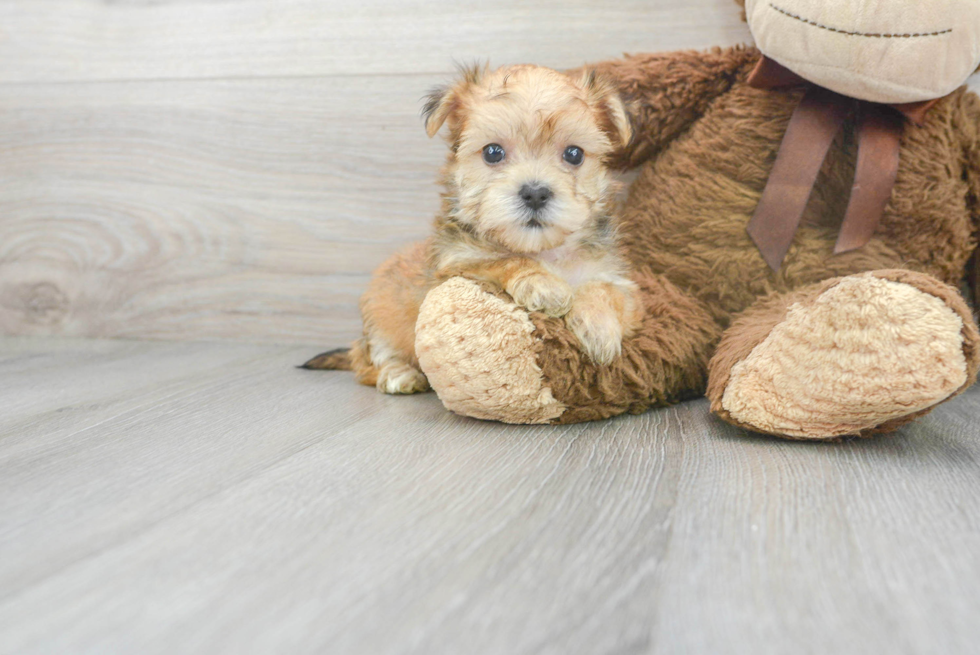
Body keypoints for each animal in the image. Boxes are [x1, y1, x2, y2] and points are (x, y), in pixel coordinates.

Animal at [306, 64, 644, 394]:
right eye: (493, 152)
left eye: (574, 154)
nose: (535, 193)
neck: (543, 250)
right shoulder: (457, 265)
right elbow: (503, 259)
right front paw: (543, 284)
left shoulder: (622, 286)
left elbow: (603, 289)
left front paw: (599, 329)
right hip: (379, 318)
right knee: (369, 361)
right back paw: (399, 375)